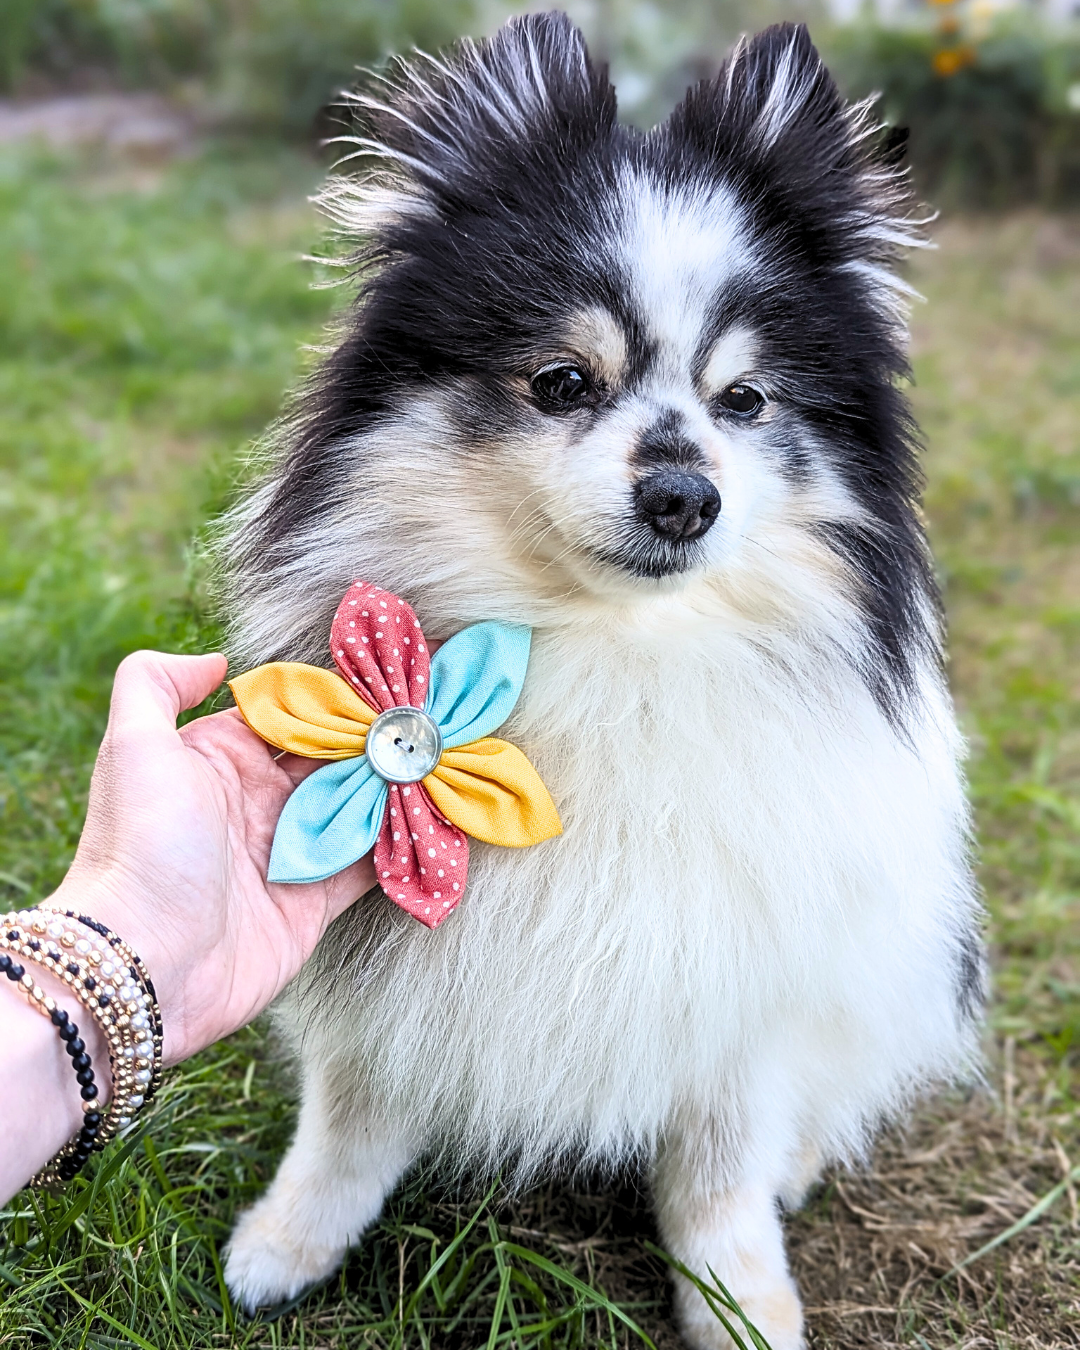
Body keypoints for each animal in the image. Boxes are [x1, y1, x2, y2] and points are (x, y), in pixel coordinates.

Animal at [214, 15, 982, 1344]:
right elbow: (353, 1113)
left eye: (745, 400)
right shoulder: (392, 967)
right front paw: (289, 1243)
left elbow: (720, 1175)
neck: (616, 651)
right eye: (563, 380)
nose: (684, 494)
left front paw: (742, 1307)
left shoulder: (746, 980)